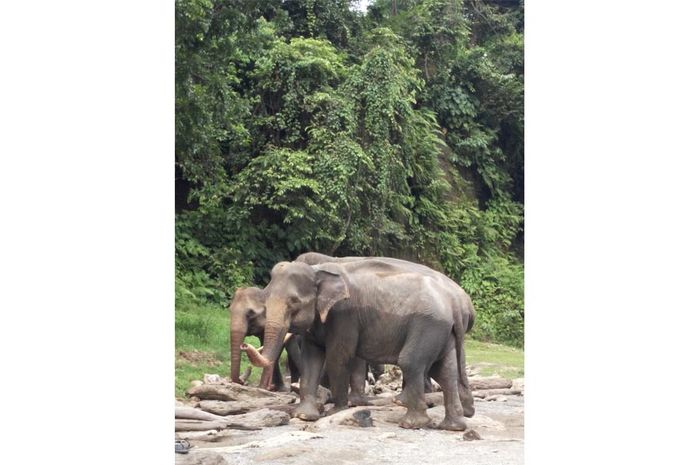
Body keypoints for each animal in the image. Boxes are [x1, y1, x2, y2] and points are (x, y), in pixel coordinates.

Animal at [255, 258, 476, 431]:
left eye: (294, 302)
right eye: (264, 298)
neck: (317, 270)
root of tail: (455, 303)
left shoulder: (344, 316)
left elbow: (338, 357)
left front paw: (336, 411)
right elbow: (312, 359)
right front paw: (303, 415)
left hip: (428, 327)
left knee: (411, 363)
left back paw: (411, 423)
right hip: (442, 332)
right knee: (445, 371)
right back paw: (453, 426)